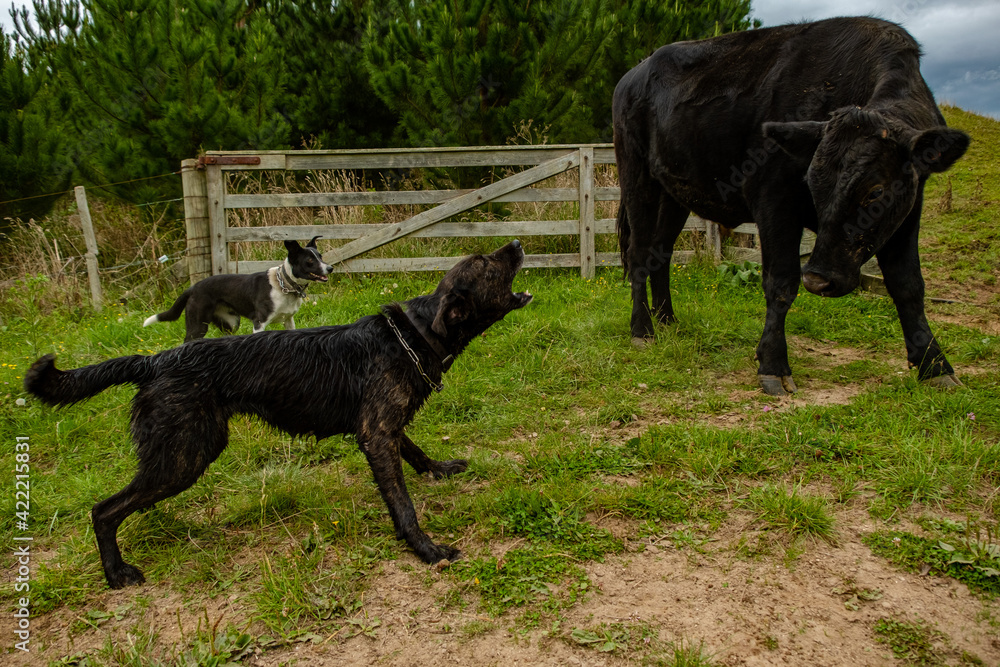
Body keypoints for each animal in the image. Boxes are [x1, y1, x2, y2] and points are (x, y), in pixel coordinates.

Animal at [143, 237, 334, 342]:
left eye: (320, 257)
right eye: (310, 261)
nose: (330, 268)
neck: (283, 285)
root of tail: (193, 288)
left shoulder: (288, 321)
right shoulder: (259, 322)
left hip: (231, 322)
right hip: (197, 325)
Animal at [612, 17, 964, 396]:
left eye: (876, 191)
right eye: (811, 181)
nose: (819, 279)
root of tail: (633, 74)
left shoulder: (908, 212)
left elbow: (908, 286)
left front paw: (935, 365)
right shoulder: (773, 199)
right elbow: (780, 283)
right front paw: (773, 365)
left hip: (675, 193)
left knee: (661, 253)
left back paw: (668, 322)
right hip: (637, 175)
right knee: (638, 252)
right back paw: (642, 330)